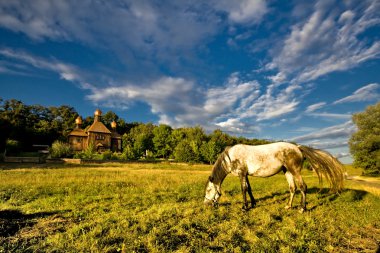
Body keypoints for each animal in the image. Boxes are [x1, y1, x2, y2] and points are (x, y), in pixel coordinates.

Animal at [205, 142, 344, 211]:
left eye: (208, 190)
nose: (206, 204)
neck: (230, 157)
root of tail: (298, 148)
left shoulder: (242, 174)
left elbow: (243, 189)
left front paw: (244, 207)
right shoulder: (246, 175)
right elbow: (249, 189)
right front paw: (253, 204)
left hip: (294, 171)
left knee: (302, 187)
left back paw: (302, 208)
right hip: (287, 171)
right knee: (293, 188)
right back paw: (288, 206)